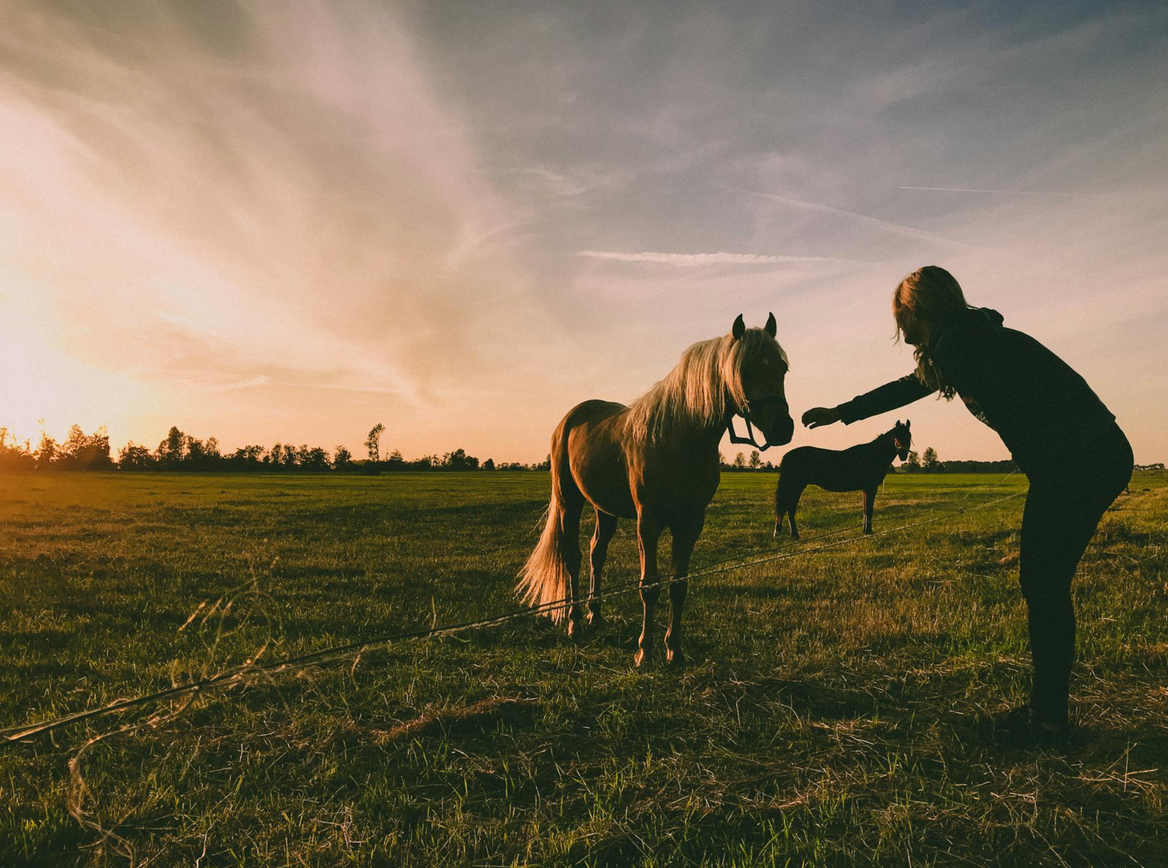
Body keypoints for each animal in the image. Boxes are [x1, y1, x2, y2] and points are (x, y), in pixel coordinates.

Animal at [517, 314, 794, 667]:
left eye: (782, 369)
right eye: (745, 370)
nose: (783, 428)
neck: (679, 437)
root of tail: (571, 418)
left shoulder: (691, 523)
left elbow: (678, 586)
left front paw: (674, 650)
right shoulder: (647, 522)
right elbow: (649, 586)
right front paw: (644, 652)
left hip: (603, 509)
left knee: (596, 553)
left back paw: (595, 615)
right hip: (570, 502)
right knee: (573, 556)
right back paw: (575, 622)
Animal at [773, 420, 911, 539]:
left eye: (908, 436)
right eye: (896, 437)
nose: (903, 455)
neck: (872, 454)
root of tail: (787, 455)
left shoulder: (865, 489)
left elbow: (865, 509)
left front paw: (865, 531)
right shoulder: (871, 487)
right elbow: (869, 509)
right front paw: (869, 532)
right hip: (796, 486)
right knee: (789, 508)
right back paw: (794, 535)